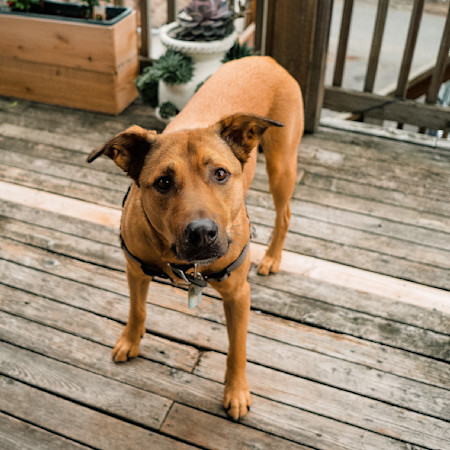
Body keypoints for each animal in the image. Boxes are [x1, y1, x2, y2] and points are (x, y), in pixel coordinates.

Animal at [88, 57, 304, 422]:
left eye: (220, 174)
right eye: (163, 182)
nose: (202, 232)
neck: (181, 261)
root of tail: (265, 59)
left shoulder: (238, 294)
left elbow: (237, 347)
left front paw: (236, 392)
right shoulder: (135, 270)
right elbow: (137, 310)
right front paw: (130, 341)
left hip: (282, 163)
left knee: (285, 213)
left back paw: (272, 257)